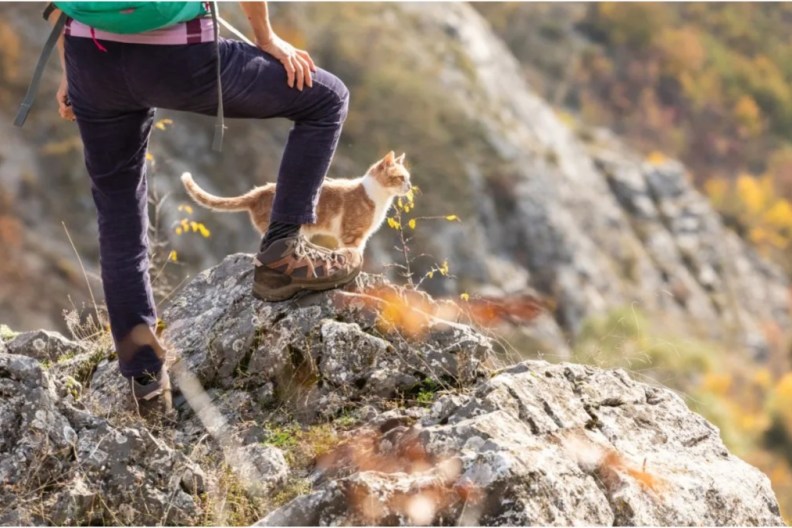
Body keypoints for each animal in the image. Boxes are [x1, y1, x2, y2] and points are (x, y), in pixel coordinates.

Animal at [182, 152, 412, 251]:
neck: (379, 197)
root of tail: (259, 191)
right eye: (401, 178)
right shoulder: (352, 234)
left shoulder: (360, 237)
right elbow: (353, 254)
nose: (409, 186)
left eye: (408, 178)